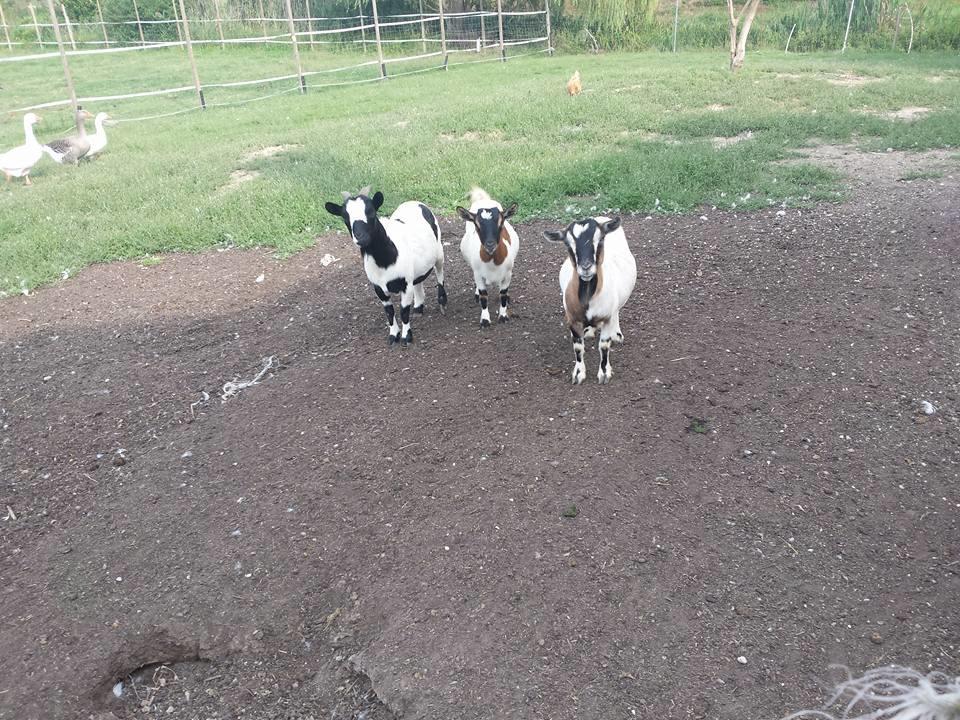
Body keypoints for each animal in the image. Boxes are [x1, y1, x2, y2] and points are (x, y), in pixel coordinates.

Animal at [326, 187, 446, 348]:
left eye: (371, 212)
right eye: (345, 217)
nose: (361, 238)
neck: (385, 261)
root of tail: (414, 202)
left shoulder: (405, 284)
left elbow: (403, 311)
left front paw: (406, 337)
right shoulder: (378, 287)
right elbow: (389, 312)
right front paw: (393, 335)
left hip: (439, 251)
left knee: (440, 273)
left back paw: (442, 301)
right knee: (418, 281)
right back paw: (418, 307)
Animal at [456, 188, 516, 330]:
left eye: (501, 223)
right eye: (476, 225)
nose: (490, 244)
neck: (493, 262)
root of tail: (484, 200)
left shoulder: (508, 273)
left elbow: (503, 293)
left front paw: (503, 316)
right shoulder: (478, 274)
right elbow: (484, 296)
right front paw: (485, 320)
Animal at [544, 217, 632, 386]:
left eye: (601, 238)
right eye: (567, 244)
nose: (586, 267)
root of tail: (602, 218)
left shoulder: (607, 317)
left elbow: (604, 346)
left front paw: (604, 373)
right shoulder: (572, 319)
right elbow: (578, 347)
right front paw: (578, 374)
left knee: (617, 311)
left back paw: (617, 335)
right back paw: (590, 331)